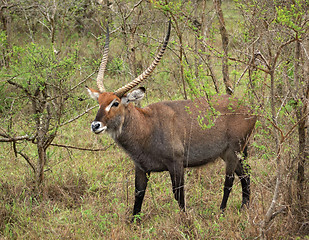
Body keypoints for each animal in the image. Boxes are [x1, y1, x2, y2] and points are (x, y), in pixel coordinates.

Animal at [86, 22, 255, 218]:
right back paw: (244, 208)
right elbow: (138, 196)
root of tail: (249, 109)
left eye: (115, 103)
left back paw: (221, 212)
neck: (146, 126)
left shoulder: (177, 164)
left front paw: (185, 219)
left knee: (229, 181)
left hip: (233, 152)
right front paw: (134, 222)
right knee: (245, 176)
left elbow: (178, 195)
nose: (95, 125)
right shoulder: (141, 168)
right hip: (232, 152)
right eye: (99, 101)